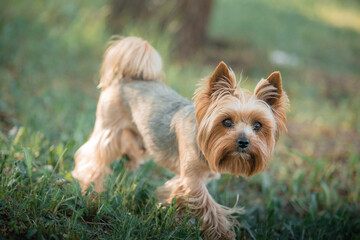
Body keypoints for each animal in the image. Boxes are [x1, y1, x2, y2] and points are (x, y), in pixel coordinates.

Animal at [73, 35, 290, 238]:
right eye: (226, 122)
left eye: (258, 125)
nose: (244, 142)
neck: (204, 143)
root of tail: (127, 78)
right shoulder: (193, 181)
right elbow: (209, 207)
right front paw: (223, 234)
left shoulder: (191, 179)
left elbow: (177, 197)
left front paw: (172, 219)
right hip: (108, 129)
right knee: (93, 159)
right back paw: (91, 191)